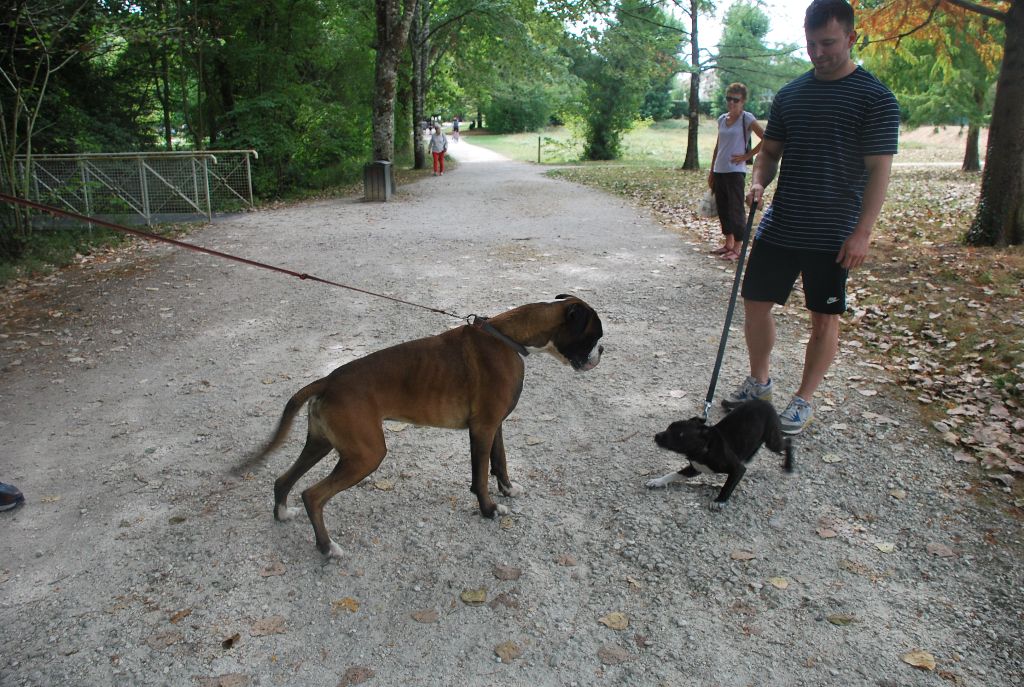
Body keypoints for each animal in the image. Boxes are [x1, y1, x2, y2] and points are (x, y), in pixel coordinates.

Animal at [235, 294, 602, 556]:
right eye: (595, 335)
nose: (604, 350)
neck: (509, 337)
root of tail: (328, 380)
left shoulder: (494, 426)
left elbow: (500, 462)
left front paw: (508, 490)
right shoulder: (483, 428)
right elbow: (481, 475)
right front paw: (488, 509)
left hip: (322, 444)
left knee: (283, 480)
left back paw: (283, 514)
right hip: (366, 456)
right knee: (313, 495)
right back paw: (327, 548)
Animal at [647, 397, 790, 509]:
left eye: (679, 436)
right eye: (669, 427)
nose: (656, 436)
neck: (705, 448)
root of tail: (765, 402)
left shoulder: (737, 469)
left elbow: (727, 486)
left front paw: (719, 501)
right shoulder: (695, 469)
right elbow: (673, 474)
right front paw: (657, 481)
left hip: (773, 441)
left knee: (788, 442)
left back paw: (789, 465)